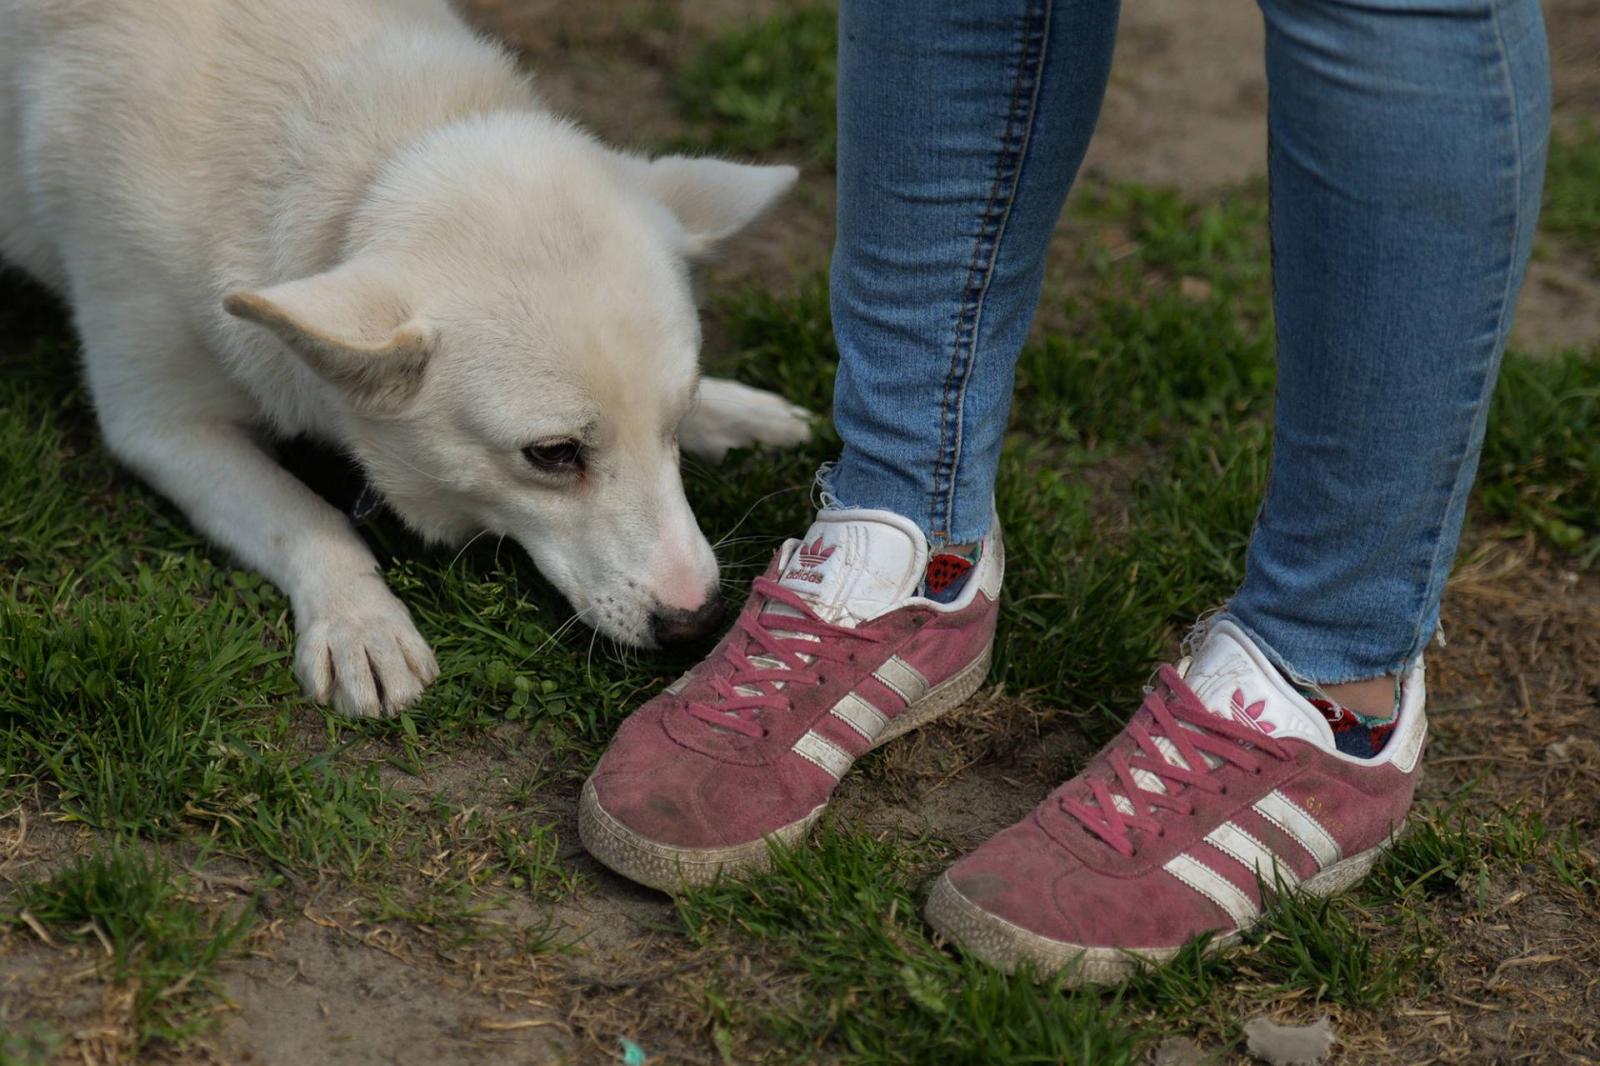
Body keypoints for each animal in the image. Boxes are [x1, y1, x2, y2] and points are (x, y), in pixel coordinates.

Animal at [3, 0, 812, 717]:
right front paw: (360, 620)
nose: (699, 624)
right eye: (552, 455)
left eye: (676, 421)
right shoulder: (158, 425)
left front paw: (733, 411)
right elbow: (305, 514)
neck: (371, 163)